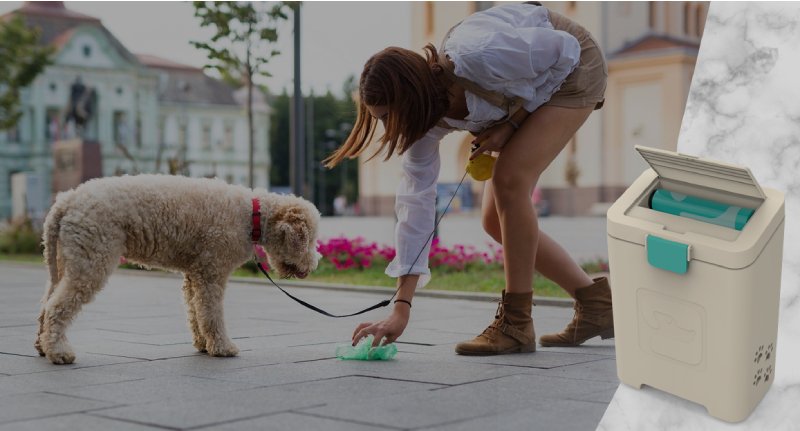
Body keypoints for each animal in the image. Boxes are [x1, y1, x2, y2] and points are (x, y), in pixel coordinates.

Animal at [36, 175, 320, 364]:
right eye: (310, 239)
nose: (314, 264)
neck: (252, 216)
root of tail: (66, 201)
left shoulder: (194, 274)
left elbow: (195, 312)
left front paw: (203, 344)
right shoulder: (212, 272)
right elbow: (212, 314)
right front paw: (223, 347)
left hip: (65, 260)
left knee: (46, 303)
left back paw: (42, 346)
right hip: (91, 260)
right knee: (57, 307)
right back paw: (60, 352)